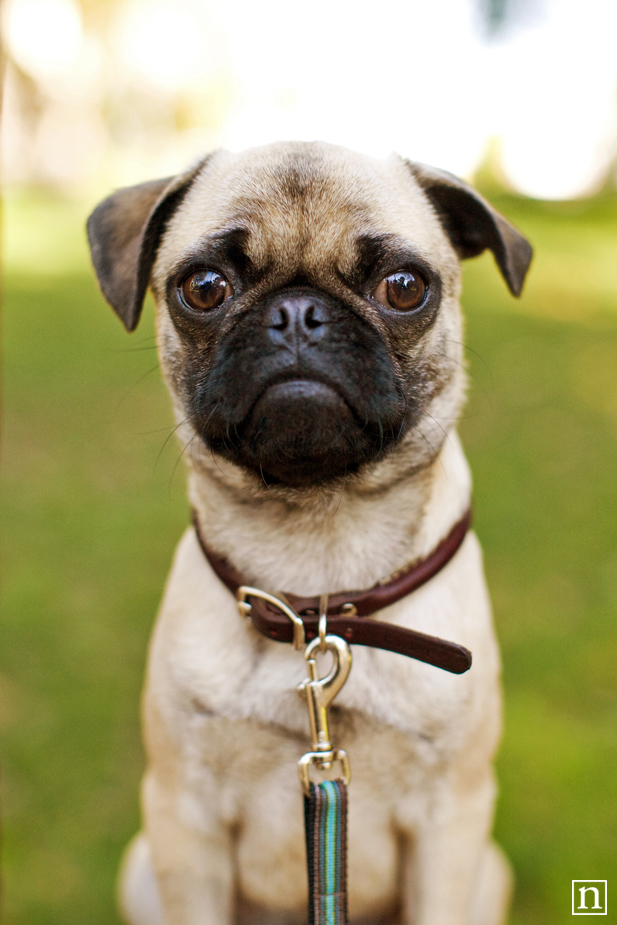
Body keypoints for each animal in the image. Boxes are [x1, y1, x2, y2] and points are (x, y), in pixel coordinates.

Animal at [88, 139, 536, 924]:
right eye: (203, 286)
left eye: (403, 287)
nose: (298, 312)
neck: (319, 581)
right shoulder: (182, 820)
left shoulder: (450, 825)